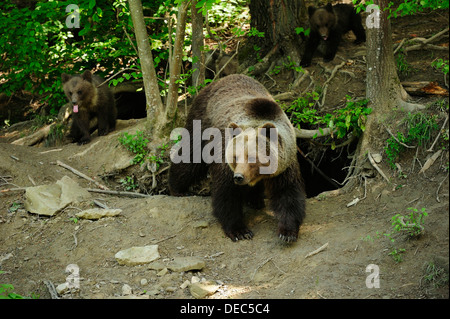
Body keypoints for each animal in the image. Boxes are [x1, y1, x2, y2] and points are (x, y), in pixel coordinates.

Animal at [169, 75, 306, 244]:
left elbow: (288, 194)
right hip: (201, 120)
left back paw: (255, 200)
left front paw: (287, 232)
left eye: (253, 157)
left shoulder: (284, 166)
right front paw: (240, 231)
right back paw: (178, 189)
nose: (239, 177)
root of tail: (219, 80)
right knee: (191, 155)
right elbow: (227, 195)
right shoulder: (225, 160)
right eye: (235, 156)